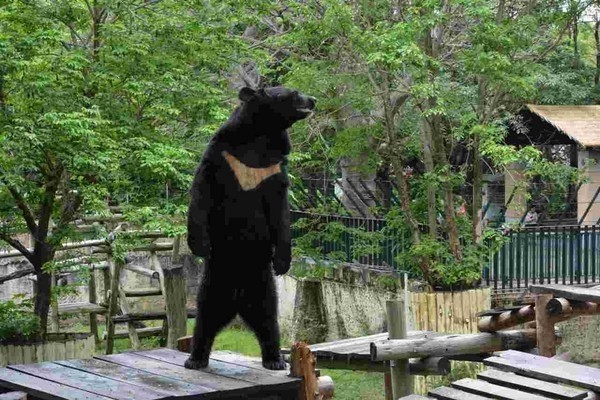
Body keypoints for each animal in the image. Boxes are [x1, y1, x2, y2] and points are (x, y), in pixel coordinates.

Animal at [186, 86, 318, 370]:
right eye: (293, 93)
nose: (313, 100)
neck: (260, 135)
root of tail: (237, 301)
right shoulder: (221, 155)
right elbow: (202, 190)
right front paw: (199, 244)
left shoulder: (275, 168)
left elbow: (281, 213)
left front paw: (283, 261)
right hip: (216, 278)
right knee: (206, 314)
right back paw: (195, 358)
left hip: (262, 284)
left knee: (268, 319)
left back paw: (275, 359)